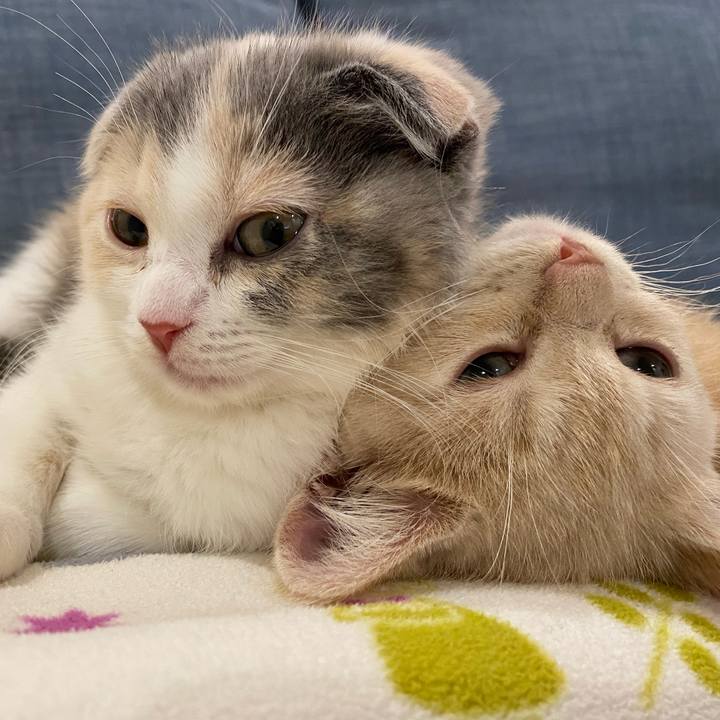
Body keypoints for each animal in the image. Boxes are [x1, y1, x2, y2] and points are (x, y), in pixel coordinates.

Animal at [0, 28, 500, 578]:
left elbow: (109, 525)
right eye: (128, 227)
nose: (158, 323)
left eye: (268, 232)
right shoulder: (61, 356)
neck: (198, 417)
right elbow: (25, 427)